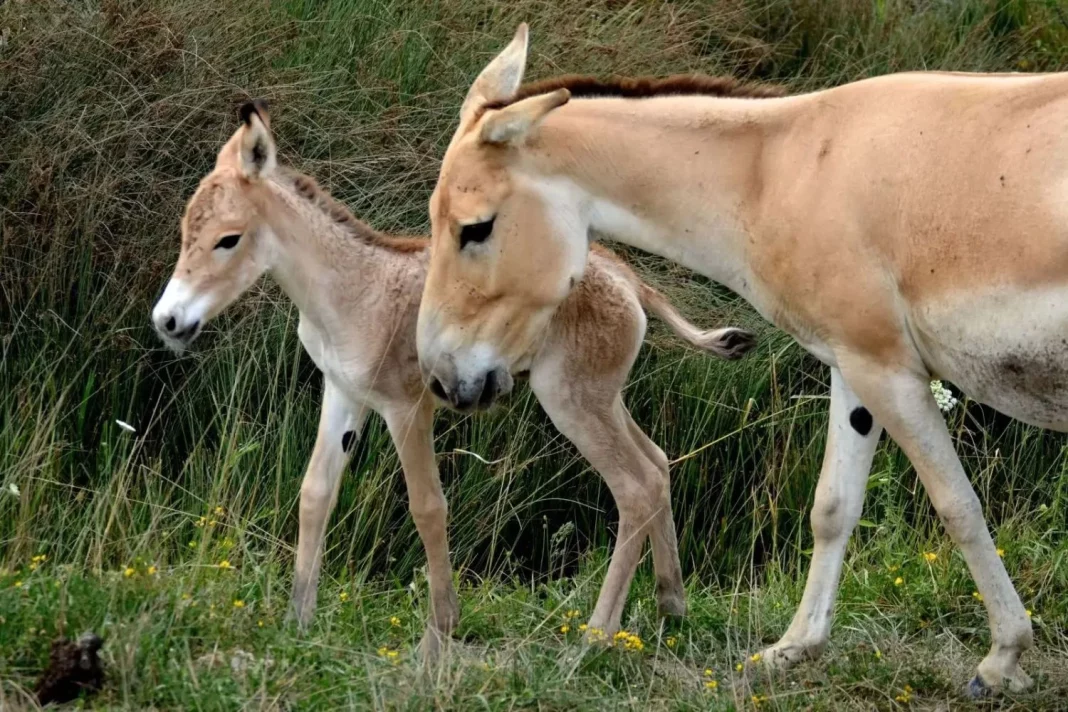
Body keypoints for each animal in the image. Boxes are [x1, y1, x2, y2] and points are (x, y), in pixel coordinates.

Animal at [150, 101, 756, 657]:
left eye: (228, 239)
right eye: (184, 230)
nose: (168, 322)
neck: (350, 288)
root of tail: (628, 278)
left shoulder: (406, 409)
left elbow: (427, 506)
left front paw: (438, 635)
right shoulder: (343, 395)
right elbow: (315, 493)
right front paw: (298, 620)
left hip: (570, 402)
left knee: (636, 485)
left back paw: (594, 638)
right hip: (601, 399)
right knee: (657, 463)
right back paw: (670, 605)